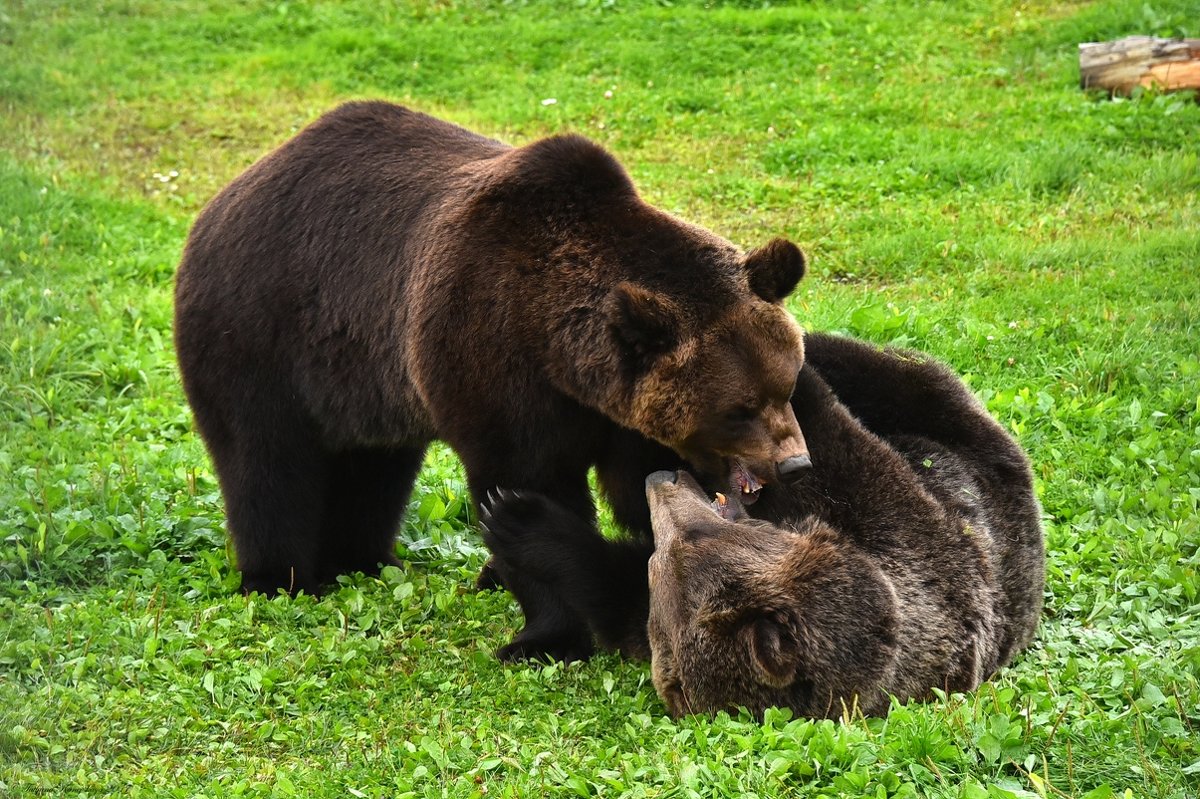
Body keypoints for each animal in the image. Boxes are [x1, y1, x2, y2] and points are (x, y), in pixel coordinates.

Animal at [174, 101, 811, 657]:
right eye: (739, 408)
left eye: (785, 387)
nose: (795, 464)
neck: (561, 355)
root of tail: (227, 196)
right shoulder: (490, 354)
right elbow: (521, 477)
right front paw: (547, 634)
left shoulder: (618, 413)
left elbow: (643, 491)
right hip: (260, 337)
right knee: (266, 463)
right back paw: (279, 577)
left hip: (365, 378)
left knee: (373, 469)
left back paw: (363, 558)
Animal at [477, 331, 1041, 715]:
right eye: (665, 551)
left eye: (683, 542)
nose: (664, 479)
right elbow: (604, 584)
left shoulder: (920, 547)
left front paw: (515, 514)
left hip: (959, 433)